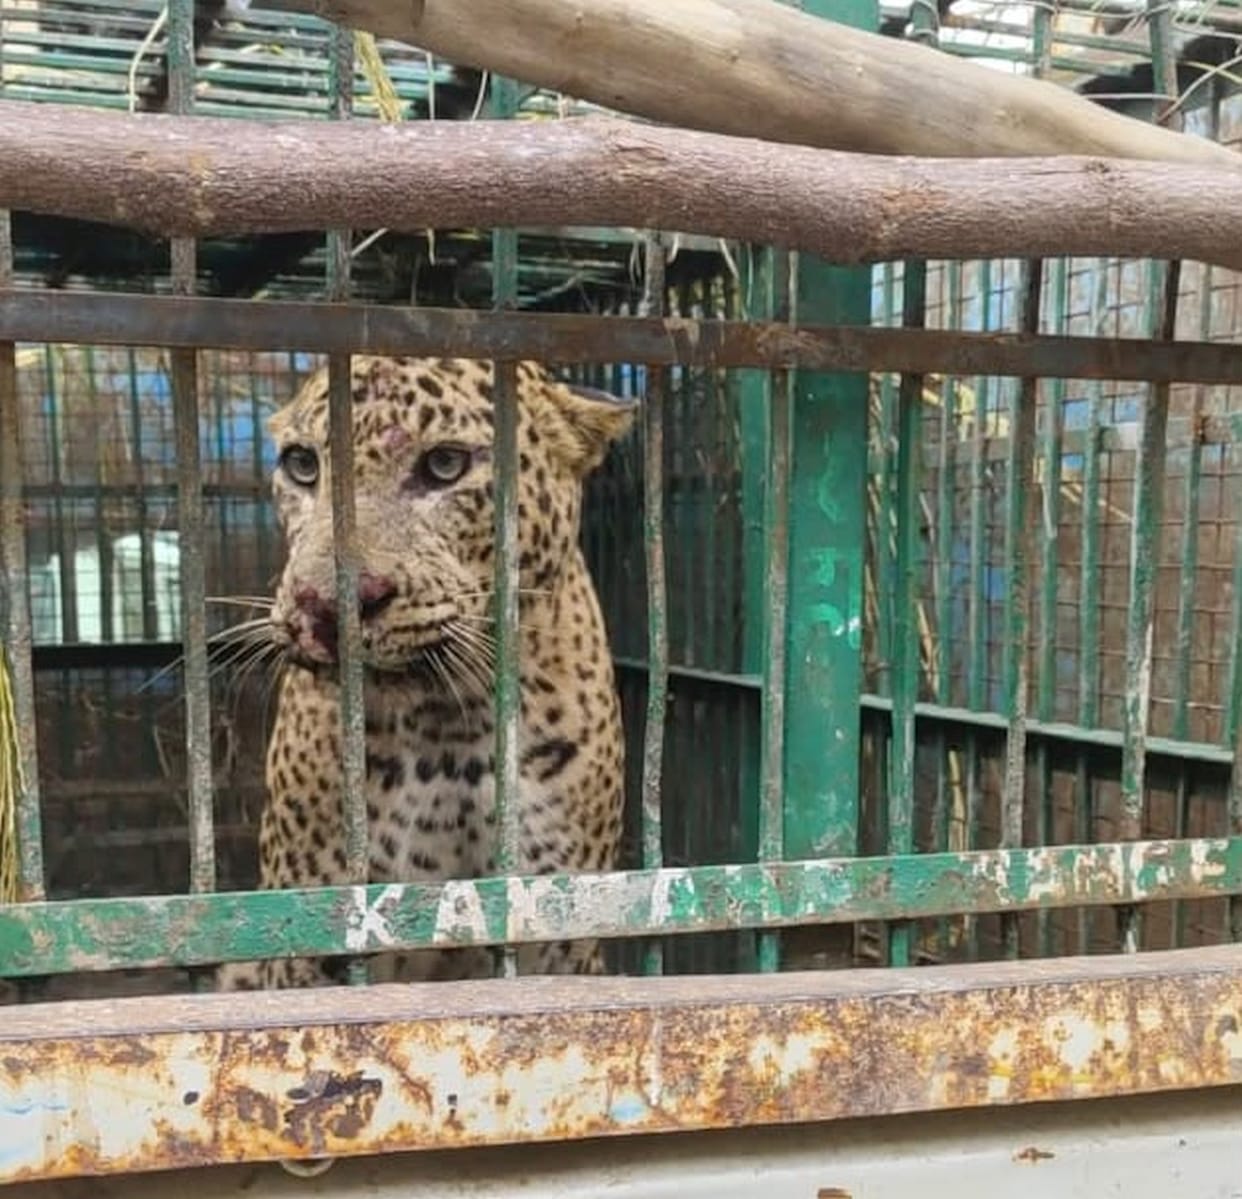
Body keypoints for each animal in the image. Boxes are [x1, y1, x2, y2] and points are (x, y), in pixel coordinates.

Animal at [214, 354, 634, 993]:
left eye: (445, 464)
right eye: (303, 465)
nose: (324, 606)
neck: (444, 724)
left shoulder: (556, 930)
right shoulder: (309, 936)